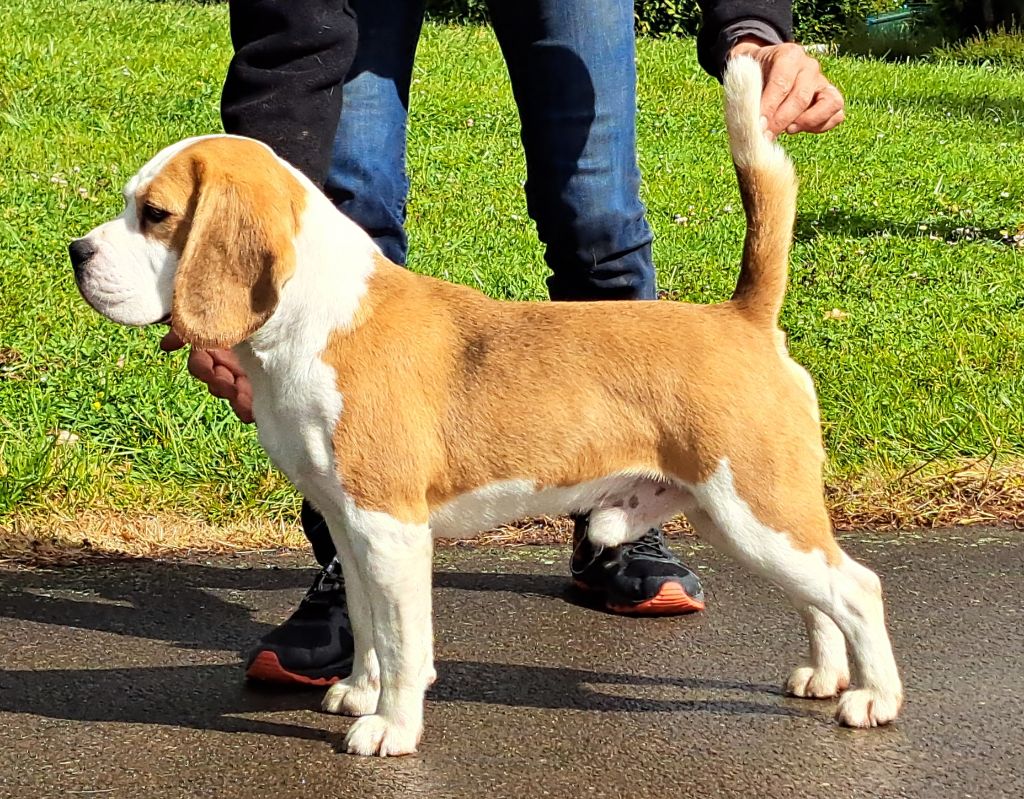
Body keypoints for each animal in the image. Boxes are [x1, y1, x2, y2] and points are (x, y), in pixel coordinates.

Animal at [72, 59, 901, 758]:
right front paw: (361, 690)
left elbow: (405, 640)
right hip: (748, 517)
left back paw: (874, 698)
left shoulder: (390, 528)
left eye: (155, 214)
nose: (76, 252)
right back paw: (825, 673)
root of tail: (742, 316)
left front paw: (392, 726)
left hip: (755, 505)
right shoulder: (349, 523)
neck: (316, 315)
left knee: (858, 587)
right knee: (819, 598)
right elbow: (369, 625)